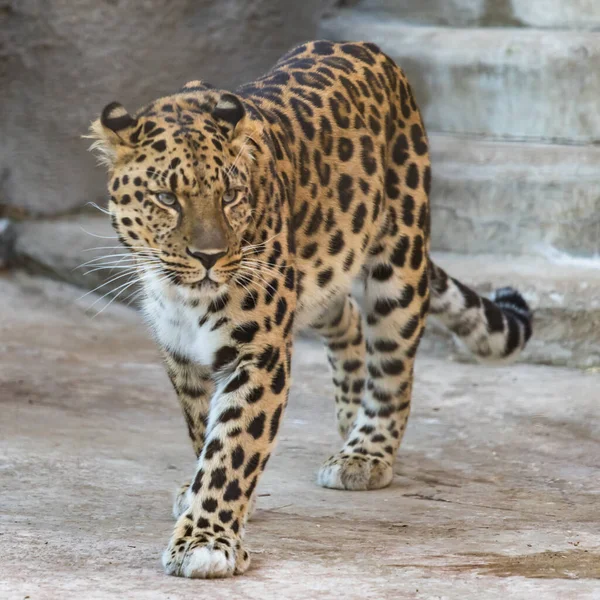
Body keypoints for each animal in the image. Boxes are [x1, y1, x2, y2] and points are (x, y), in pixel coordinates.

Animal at [88, 39, 528, 580]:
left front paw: (206, 540)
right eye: (166, 198)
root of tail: (366, 47)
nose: (209, 257)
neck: (184, 295)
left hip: (399, 259)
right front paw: (202, 498)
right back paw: (348, 417)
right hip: (319, 274)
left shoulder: (258, 350)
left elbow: (232, 447)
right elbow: (202, 430)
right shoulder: (181, 351)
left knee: (393, 364)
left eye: (230, 196)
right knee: (348, 319)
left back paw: (365, 452)